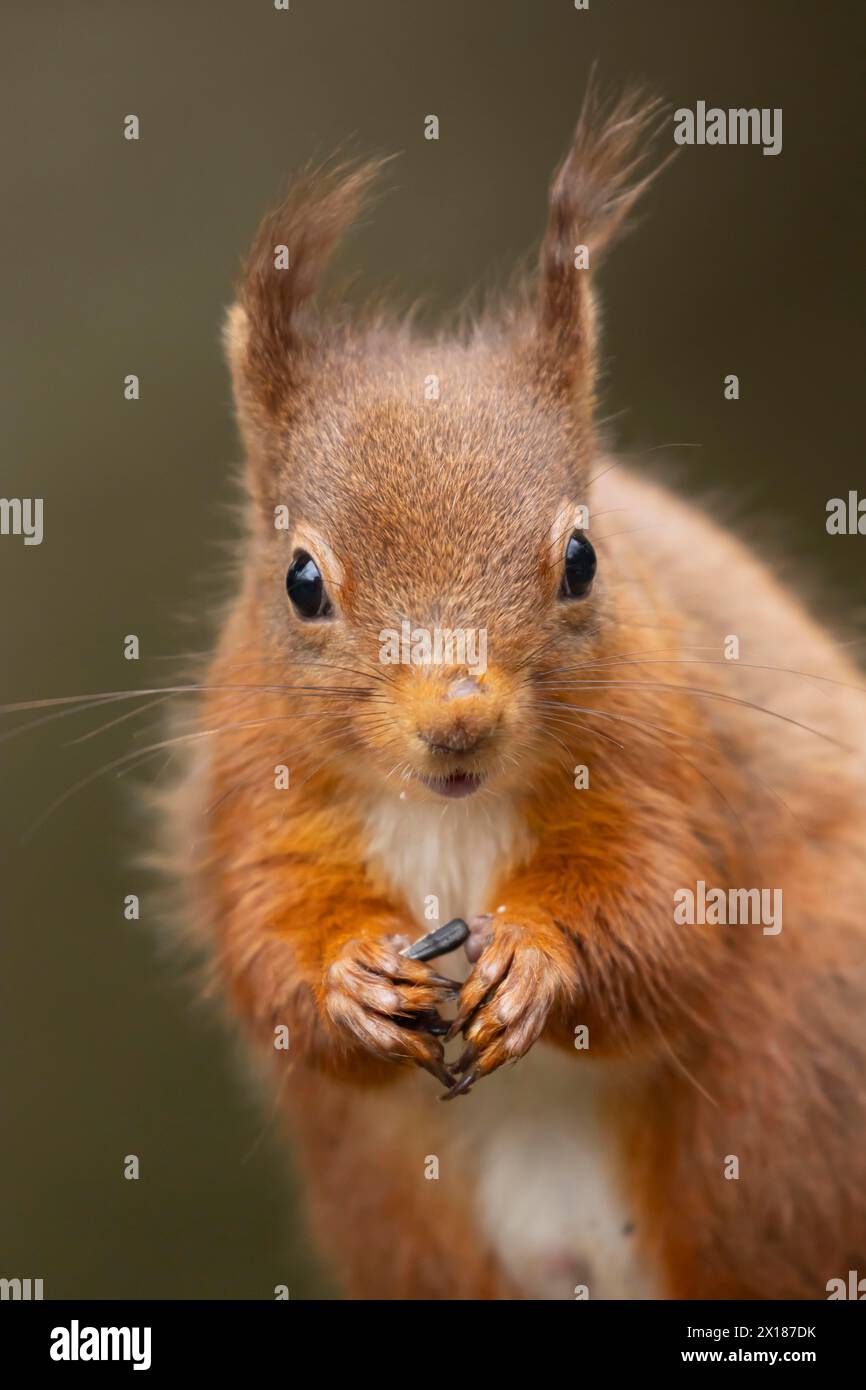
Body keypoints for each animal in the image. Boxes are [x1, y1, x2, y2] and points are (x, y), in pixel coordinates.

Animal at [167, 92, 866, 1295]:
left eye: (582, 559)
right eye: (300, 580)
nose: (459, 718)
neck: (450, 811)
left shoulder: (666, 756)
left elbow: (664, 915)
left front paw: (535, 961)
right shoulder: (254, 791)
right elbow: (266, 944)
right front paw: (350, 978)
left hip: (788, 1086)